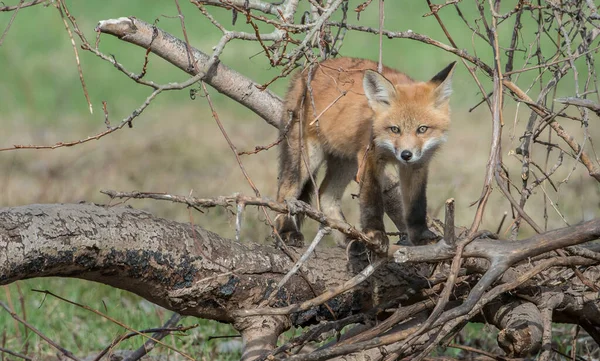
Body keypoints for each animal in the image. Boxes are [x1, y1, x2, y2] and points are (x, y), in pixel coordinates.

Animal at [276, 57, 454, 249]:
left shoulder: (418, 166)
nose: (406, 155)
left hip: (347, 164)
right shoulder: (369, 158)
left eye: (422, 129)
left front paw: (421, 236)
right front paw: (375, 234)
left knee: (325, 194)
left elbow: (417, 204)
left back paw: (346, 237)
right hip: (307, 158)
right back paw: (286, 231)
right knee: (285, 192)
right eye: (395, 129)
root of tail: (306, 72)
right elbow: (372, 199)